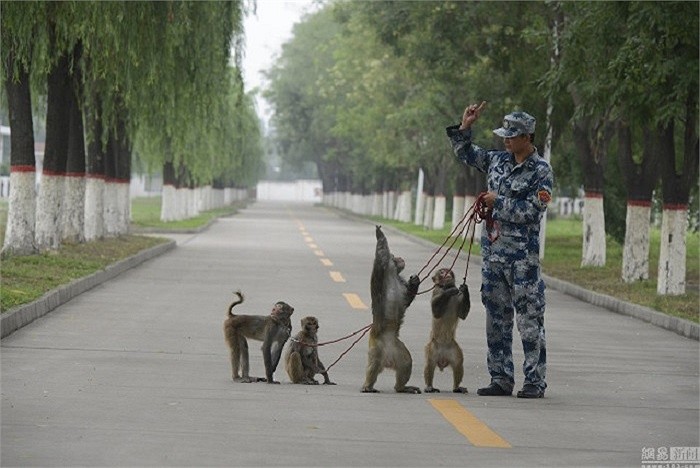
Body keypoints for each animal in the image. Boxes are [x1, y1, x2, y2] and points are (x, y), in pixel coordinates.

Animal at [364, 225, 418, 394]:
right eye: (394, 256)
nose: (400, 257)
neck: (393, 273)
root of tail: (387, 360)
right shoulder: (382, 265)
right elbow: (381, 252)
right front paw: (379, 234)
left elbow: (406, 300)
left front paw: (415, 282)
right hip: (376, 347)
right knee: (374, 365)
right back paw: (367, 385)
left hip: (397, 350)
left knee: (406, 362)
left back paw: (401, 387)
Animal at [424, 266, 474, 394]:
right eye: (441, 272)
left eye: (447, 270)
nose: (446, 273)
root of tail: (443, 359)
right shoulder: (436, 291)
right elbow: (436, 313)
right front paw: (449, 291)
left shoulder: (459, 296)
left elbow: (462, 315)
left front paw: (465, 289)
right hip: (432, 348)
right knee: (430, 364)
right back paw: (429, 386)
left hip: (453, 349)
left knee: (458, 364)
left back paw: (457, 387)